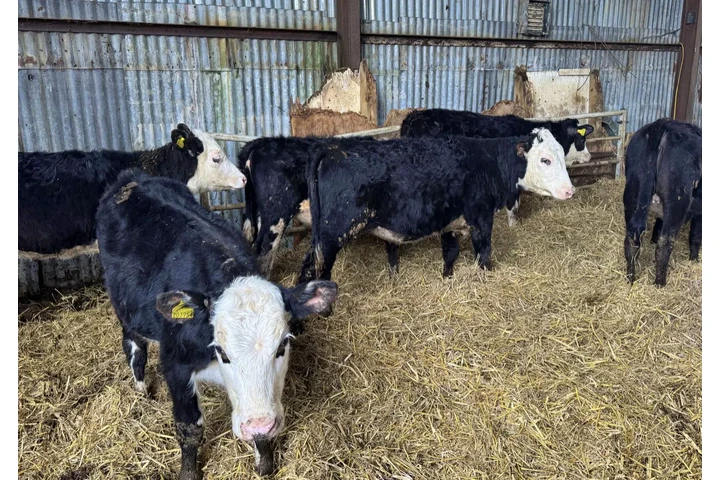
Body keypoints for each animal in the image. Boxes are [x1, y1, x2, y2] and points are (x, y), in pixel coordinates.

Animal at [96, 170, 338, 479]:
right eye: (222, 351)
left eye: (282, 346)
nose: (259, 423)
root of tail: (131, 177)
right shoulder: (175, 365)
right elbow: (190, 429)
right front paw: (189, 472)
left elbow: (261, 439)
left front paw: (264, 464)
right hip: (124, 308)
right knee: (134, 346)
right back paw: (141, 389)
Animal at [298, 128, 574, 282]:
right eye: (545, 160)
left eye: (563, 154)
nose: (570, 190)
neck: (489, 162)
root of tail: (333, 149)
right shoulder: (481, 219)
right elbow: (484, 254)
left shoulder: (449, 222)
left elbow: (450, 254)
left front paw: (447, 278)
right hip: (333, 233)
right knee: (313, 269)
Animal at [623, 118, 701, 287]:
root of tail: (661, 125)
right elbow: (696, 235)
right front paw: (694, 260)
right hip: (677, 201)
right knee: (665, 242)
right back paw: (660, 283)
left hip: (632, 194)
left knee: (632, 239)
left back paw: (631, 278)